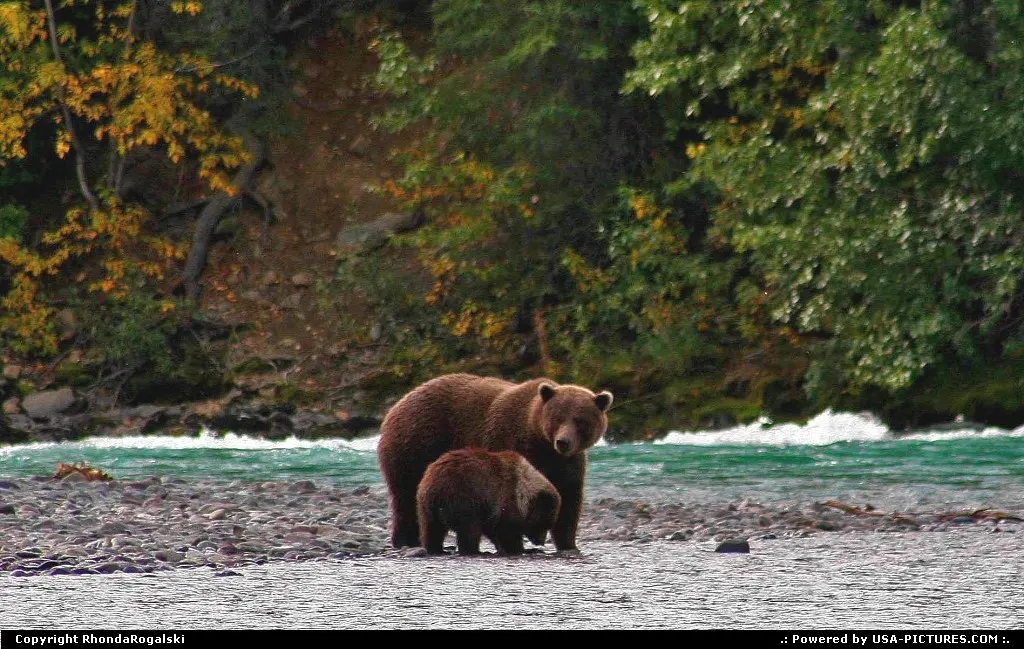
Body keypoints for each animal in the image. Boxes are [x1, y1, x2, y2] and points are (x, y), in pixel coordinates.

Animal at [416, 448, 561, 555]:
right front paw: (520, 549)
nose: (540, 542)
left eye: (549, 524)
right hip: (463, 497)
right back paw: (475, 551)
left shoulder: (490, 508)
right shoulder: (504, 498)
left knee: (432, 529)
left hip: (426, 505)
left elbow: (493, 529)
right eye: (543, 524)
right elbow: (506, 531)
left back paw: (436, 549)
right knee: (469, 528)